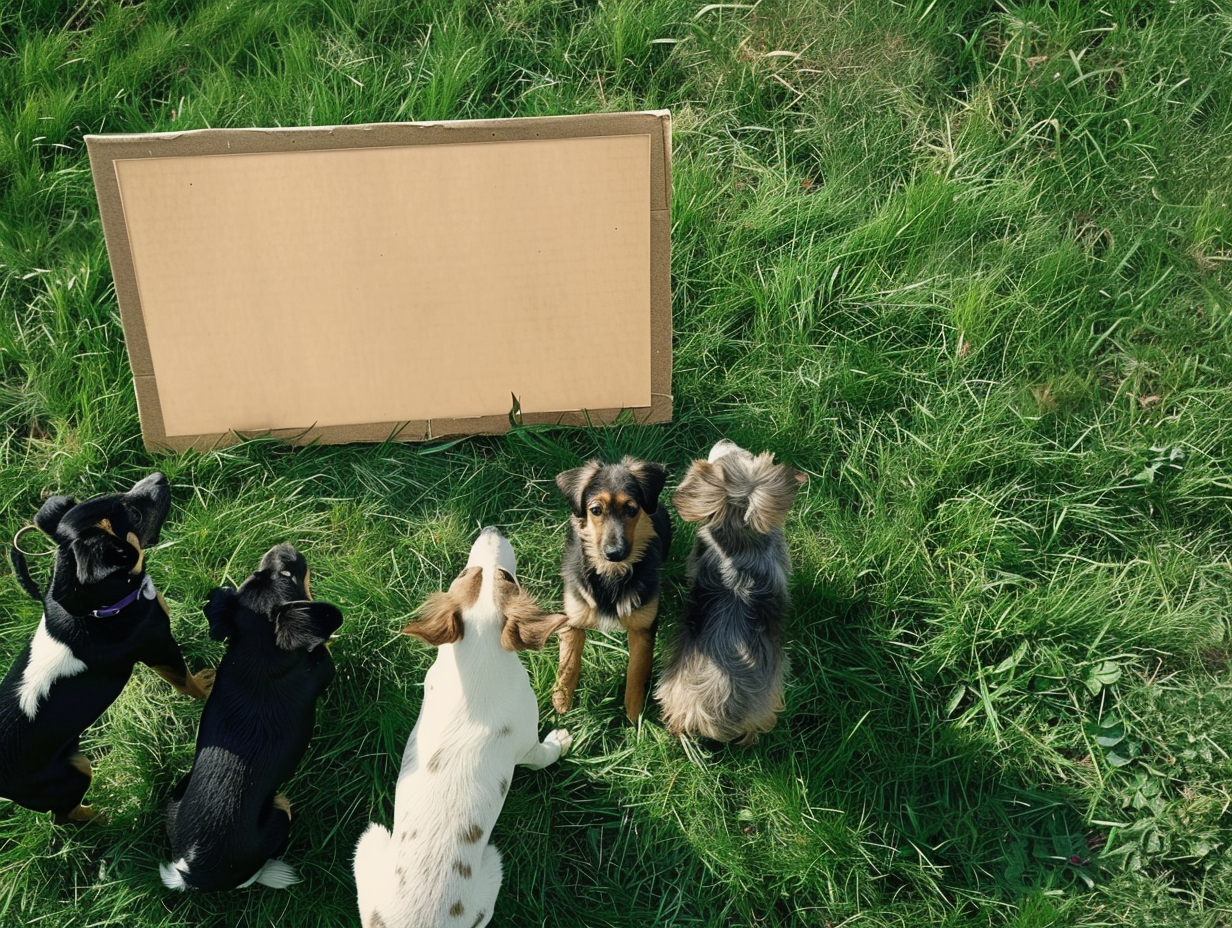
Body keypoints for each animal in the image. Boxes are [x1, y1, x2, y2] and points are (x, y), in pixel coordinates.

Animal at [0, 473, 214, 823]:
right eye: (136, 516)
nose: (159, 477)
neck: (95, 609)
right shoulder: (159, 648)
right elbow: (184, 680)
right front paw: (205, 689)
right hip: (72, 776)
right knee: (66, 816)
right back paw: (108, 816)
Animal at [161, 542, 342, 892]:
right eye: (288, 574)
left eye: (256, 572)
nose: (284, 546)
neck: (261, 652)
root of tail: (192, 873)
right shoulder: (324, 669)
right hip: (278, 816)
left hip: (176, 794)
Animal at [354, 525, 569, 926]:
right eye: (507, 577)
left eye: (463, 573)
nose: (492, 528)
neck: (479, 655)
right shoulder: (527, 743)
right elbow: (543, 755)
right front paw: (561, 740)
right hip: (486, 865)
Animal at [551, 455, 670, 724]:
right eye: (596, 510)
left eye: (631, 509)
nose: (614, 553)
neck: (611, 574)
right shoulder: (573, 619)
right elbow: (568, 663)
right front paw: (561, 702)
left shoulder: (642, 627)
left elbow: (636, 672)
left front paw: (635, 718)